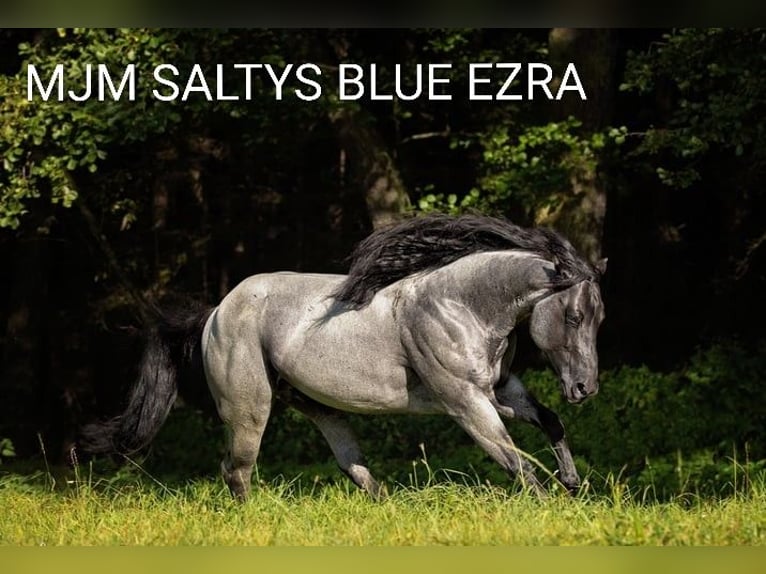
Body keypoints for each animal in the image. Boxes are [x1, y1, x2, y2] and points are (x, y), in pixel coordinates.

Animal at [79, 214, 607, 499]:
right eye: (575, 315)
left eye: (598, 317)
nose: (586, 389)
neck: (460, 304)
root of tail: (215, 312)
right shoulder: (466, 403)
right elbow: (515, 460)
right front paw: (551, 504)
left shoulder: (500, 389)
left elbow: (550, 422)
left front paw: (573, 484)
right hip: (249, 410)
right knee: (237, 470)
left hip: (320, 407)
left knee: (352, 466)